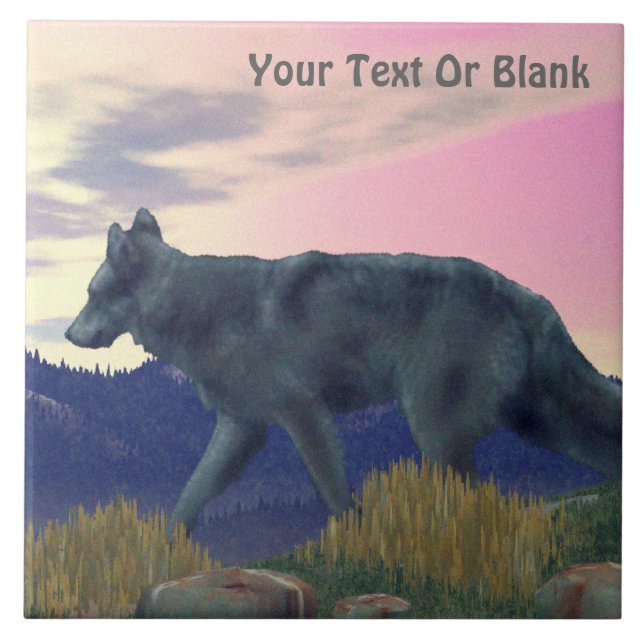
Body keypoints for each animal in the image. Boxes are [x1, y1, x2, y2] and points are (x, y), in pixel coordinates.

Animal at [66, 208, 621, 535]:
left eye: (92, 295)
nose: (69, 334)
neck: (198, 309)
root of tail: (525, 294)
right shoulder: (242, 427)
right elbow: (189, 496)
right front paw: (167, 553)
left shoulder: (303, 413)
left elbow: (334, 492)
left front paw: (353, 539)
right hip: (534, 424)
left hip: (435, 431)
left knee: (476, 500)